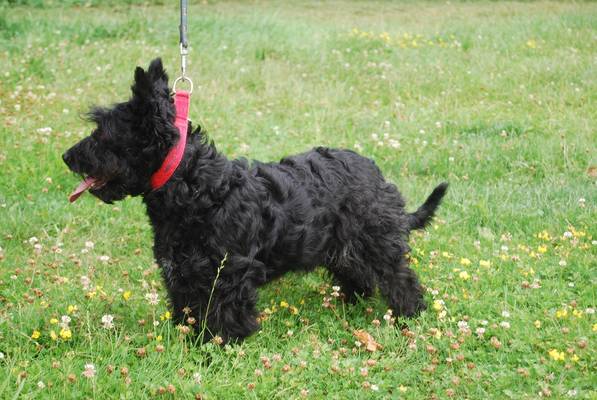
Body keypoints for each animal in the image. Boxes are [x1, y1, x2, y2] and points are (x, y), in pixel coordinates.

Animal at [63, 58, 448, 343]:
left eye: (101, 133)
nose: (66, 157)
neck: (194, 185)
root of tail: (376, 173)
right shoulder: (183, 274)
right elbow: (188, 310)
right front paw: (187, 339)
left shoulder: (228, 274)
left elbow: (226, 315)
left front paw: (222, 345)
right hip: (344, 247)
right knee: (358, 276)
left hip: (377, 243)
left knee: (400, 278)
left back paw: (409, 314)